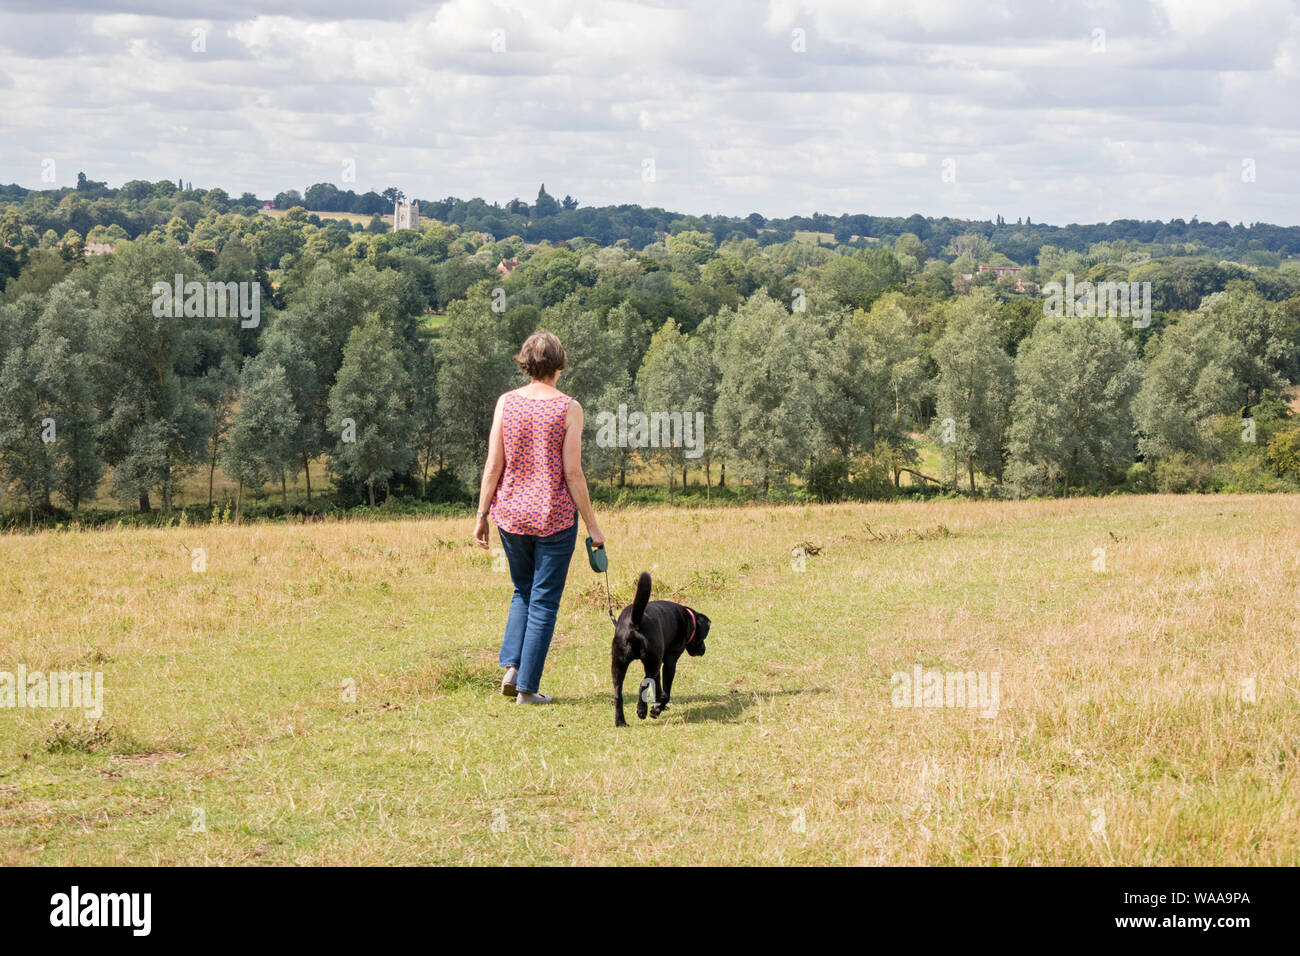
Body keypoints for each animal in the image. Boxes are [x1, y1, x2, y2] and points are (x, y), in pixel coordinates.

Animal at [611, 574, 712, 723]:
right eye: (703, 637)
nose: (704, 650)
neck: (689, 619)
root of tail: (635, 620)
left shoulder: (656, 664)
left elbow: (657, 687)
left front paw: (658, 705)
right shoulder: (669, 662)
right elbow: (666, 692)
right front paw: (656, 708)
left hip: (619, 664)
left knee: (618, 694)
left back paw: (621, 722)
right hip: (651, 664)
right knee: (642, 685)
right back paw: (642, 710)